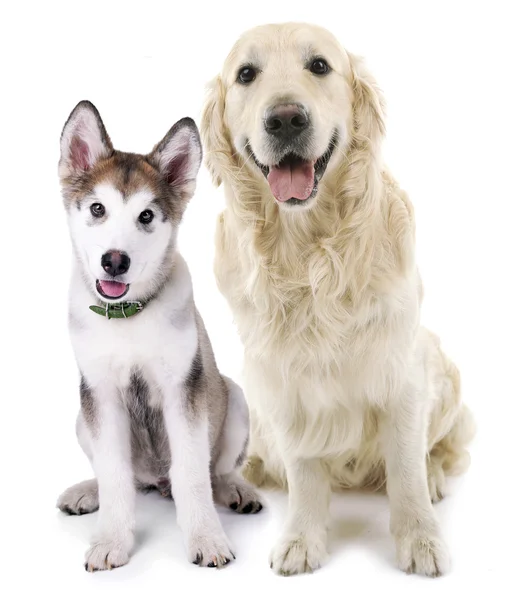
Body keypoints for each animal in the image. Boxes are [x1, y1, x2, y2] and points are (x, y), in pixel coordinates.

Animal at [55, 101, 262, 568]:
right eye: (98, 209)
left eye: (146, 216)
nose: (115, 261)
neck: (128, 318)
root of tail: (154, 481)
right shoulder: (99, 394)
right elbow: (114, 475)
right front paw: (111, 539)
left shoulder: (182, 390)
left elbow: (192, 474)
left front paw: (206, 537)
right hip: (81, 418)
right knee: (124, 478)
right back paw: (87, 492)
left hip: (236, 398)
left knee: (214, 471)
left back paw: (234, 489)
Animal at [201, 23, 474, 576]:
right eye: (246, 74)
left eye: (320, 66)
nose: (286, 118)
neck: (309, 254)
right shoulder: (284, 378)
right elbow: (304, 469)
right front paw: (302, 539)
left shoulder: (401, 370)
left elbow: (406, 469)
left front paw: (421, 539)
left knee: (437, 451)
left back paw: (436, 478)